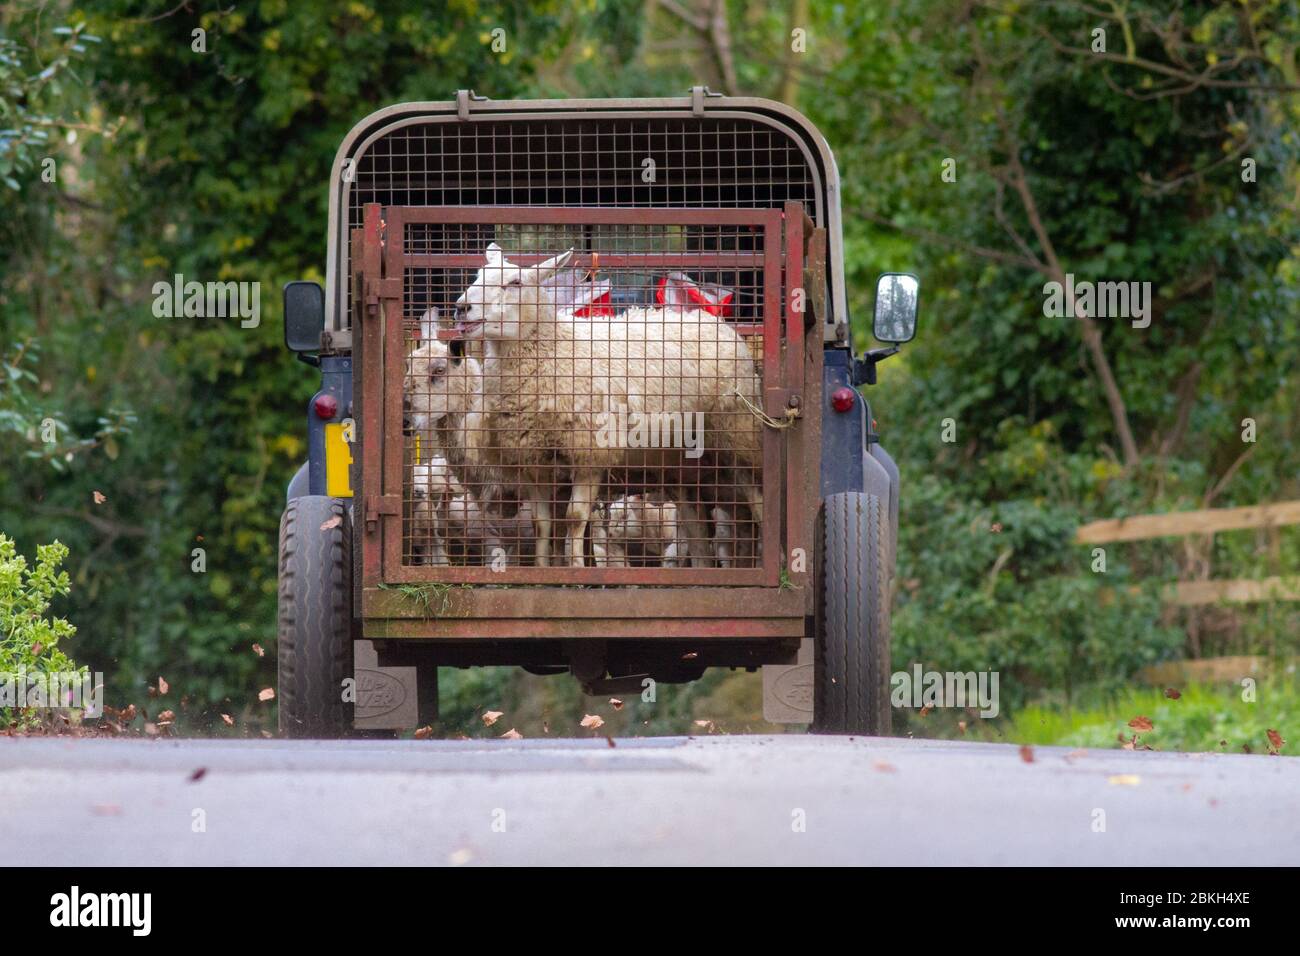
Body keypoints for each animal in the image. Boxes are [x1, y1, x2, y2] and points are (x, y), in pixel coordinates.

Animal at [453, 243, 764, 567]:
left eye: (515, 283)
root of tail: (708, 319)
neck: (555, 349)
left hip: (737, 433)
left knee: (756, 502)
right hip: (684, 464)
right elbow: (542, 524)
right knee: (699, 530)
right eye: (477, 277)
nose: (462, 307)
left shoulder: (591, 450)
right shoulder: (532, 458)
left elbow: (575, 518)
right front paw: (544, 568)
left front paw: (576, 567)